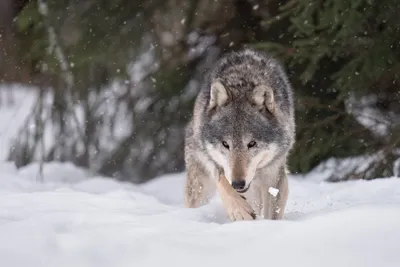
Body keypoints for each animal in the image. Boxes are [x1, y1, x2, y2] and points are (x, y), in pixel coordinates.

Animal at [184, 48, 294, 222]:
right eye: (225, 144)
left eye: (252, 143)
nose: (238, 184)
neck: (242, 84)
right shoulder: (209, 157)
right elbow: (223, 180)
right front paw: (239, 210)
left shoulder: (273, 173)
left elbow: (272, 211)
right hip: (199, 184)